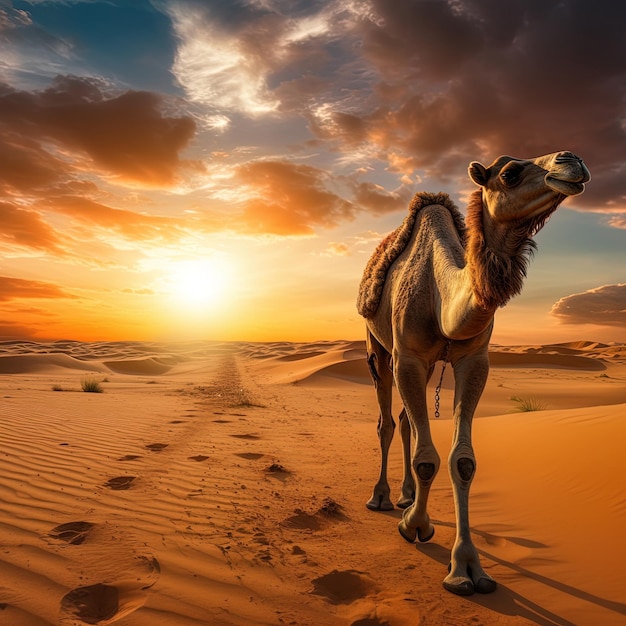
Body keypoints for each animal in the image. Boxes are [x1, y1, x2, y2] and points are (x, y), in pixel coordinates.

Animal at [356, 151, 588, 596]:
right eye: (510, 173)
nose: (572, 161)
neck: (441, 295)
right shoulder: (407, 357)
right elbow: (427, 458)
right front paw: (416, 527)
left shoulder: (475, 360)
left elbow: (462, 460)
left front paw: (467, 567)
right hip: (377, 346)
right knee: (385, 422)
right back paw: (382, 498)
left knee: (406, 422)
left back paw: (406, 496)